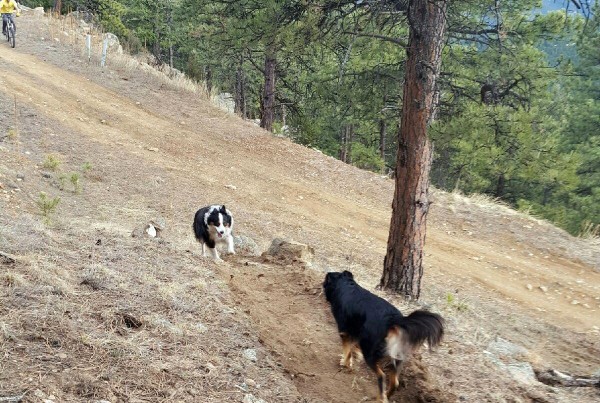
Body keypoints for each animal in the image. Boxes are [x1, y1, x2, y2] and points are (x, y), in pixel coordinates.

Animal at [323, 270, 444, 403]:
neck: (346, 285)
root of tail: (393, 320)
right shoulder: (357, 333)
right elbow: (353, 348)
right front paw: (353, 357)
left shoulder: (345, 331)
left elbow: (347, 350)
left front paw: (345, 364)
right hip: (396, 358)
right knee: (395, 382)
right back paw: (387, 395)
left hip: (370, 354)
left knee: (381, 376)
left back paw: (380, 398)